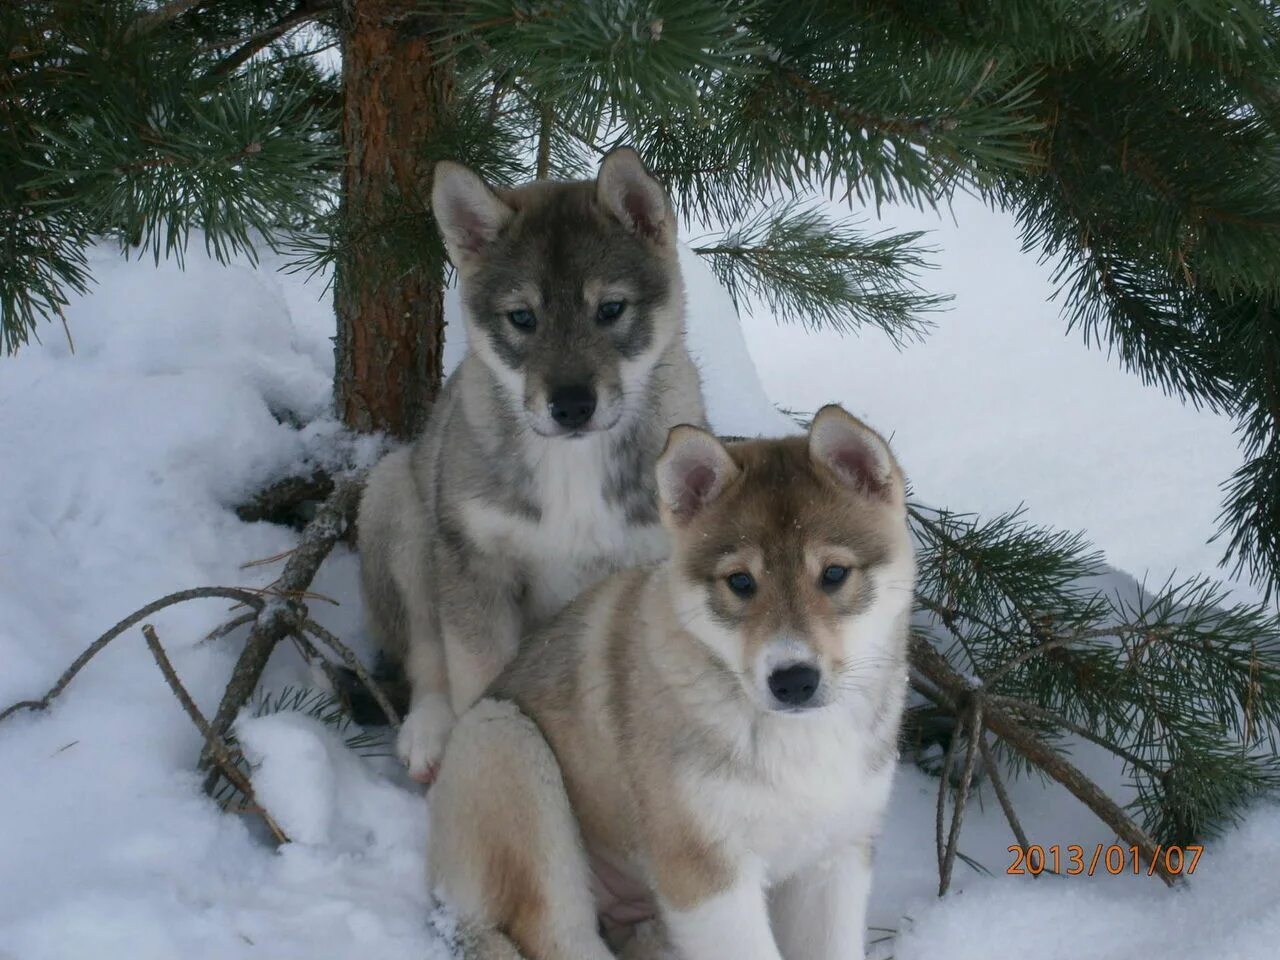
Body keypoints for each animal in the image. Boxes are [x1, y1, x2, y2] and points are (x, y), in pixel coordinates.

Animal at [355, 150, 706, 783]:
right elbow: (475, 678)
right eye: (522, 318)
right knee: (423, 651)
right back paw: (427, 733)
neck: (572, 462)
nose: (570, 405)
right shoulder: (477, 568)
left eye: (610, 309)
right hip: (399, 508)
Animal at [424, 407, 916, 960]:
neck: (796, 741)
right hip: (505, 745)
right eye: (740, 582)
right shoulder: (705, 870)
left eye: (834, 573)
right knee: (557, 935)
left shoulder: (836, 857)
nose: (793, 681)